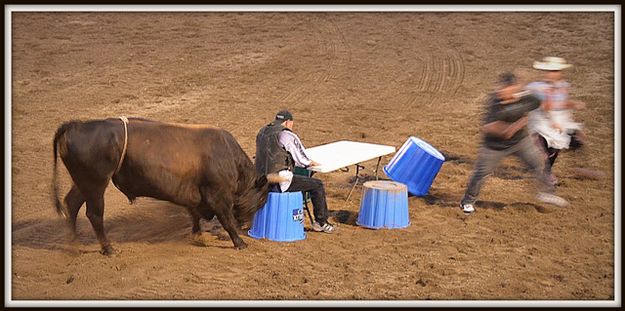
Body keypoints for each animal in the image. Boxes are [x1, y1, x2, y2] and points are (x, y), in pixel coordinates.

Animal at [53, 117, 278, 256]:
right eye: (261, 199)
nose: (247, 226)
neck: (229, 158)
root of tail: (75, 126)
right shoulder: (218, 196)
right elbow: (227, 220)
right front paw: (240, 243)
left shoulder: (193, 194)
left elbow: (194, 214)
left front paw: (198, 235)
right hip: (96, 185)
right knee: (94, 214)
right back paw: (108, 249)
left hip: (83, 183)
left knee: (71, 204)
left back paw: (74, 246)